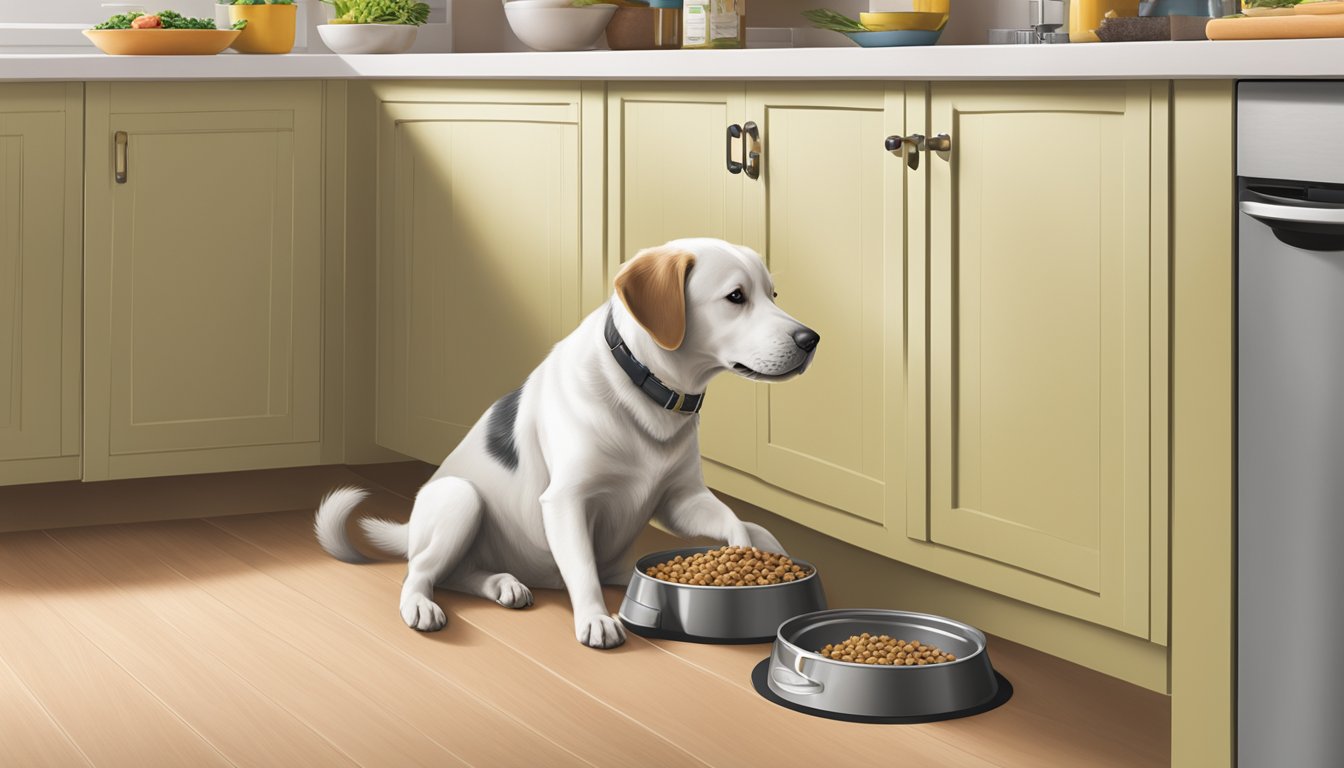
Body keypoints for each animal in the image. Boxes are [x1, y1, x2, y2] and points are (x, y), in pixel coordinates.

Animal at [314, 239, 817, 648]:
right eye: (736, 297)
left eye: (773, 295)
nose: (810, 339)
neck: (646, 389)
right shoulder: (566, 502)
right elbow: (581, 570)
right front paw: (595, 619)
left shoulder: (681, 499)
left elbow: (734, 521)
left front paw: (741, 553)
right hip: (460, 499)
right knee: (420, 571)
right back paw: (422, 604)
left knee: (461, 574)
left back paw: (504, 584)